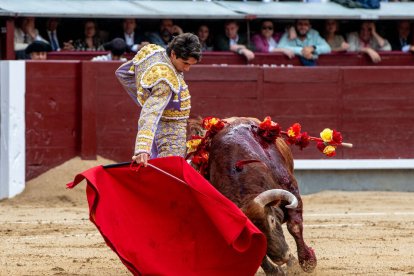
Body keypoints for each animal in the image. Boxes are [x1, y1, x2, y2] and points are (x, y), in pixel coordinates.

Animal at [191, 117, 316, 274]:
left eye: (272, 221)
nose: (281, 258)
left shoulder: (291, 189)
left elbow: (294, 226)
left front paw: (308, 262)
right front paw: (275, 271)